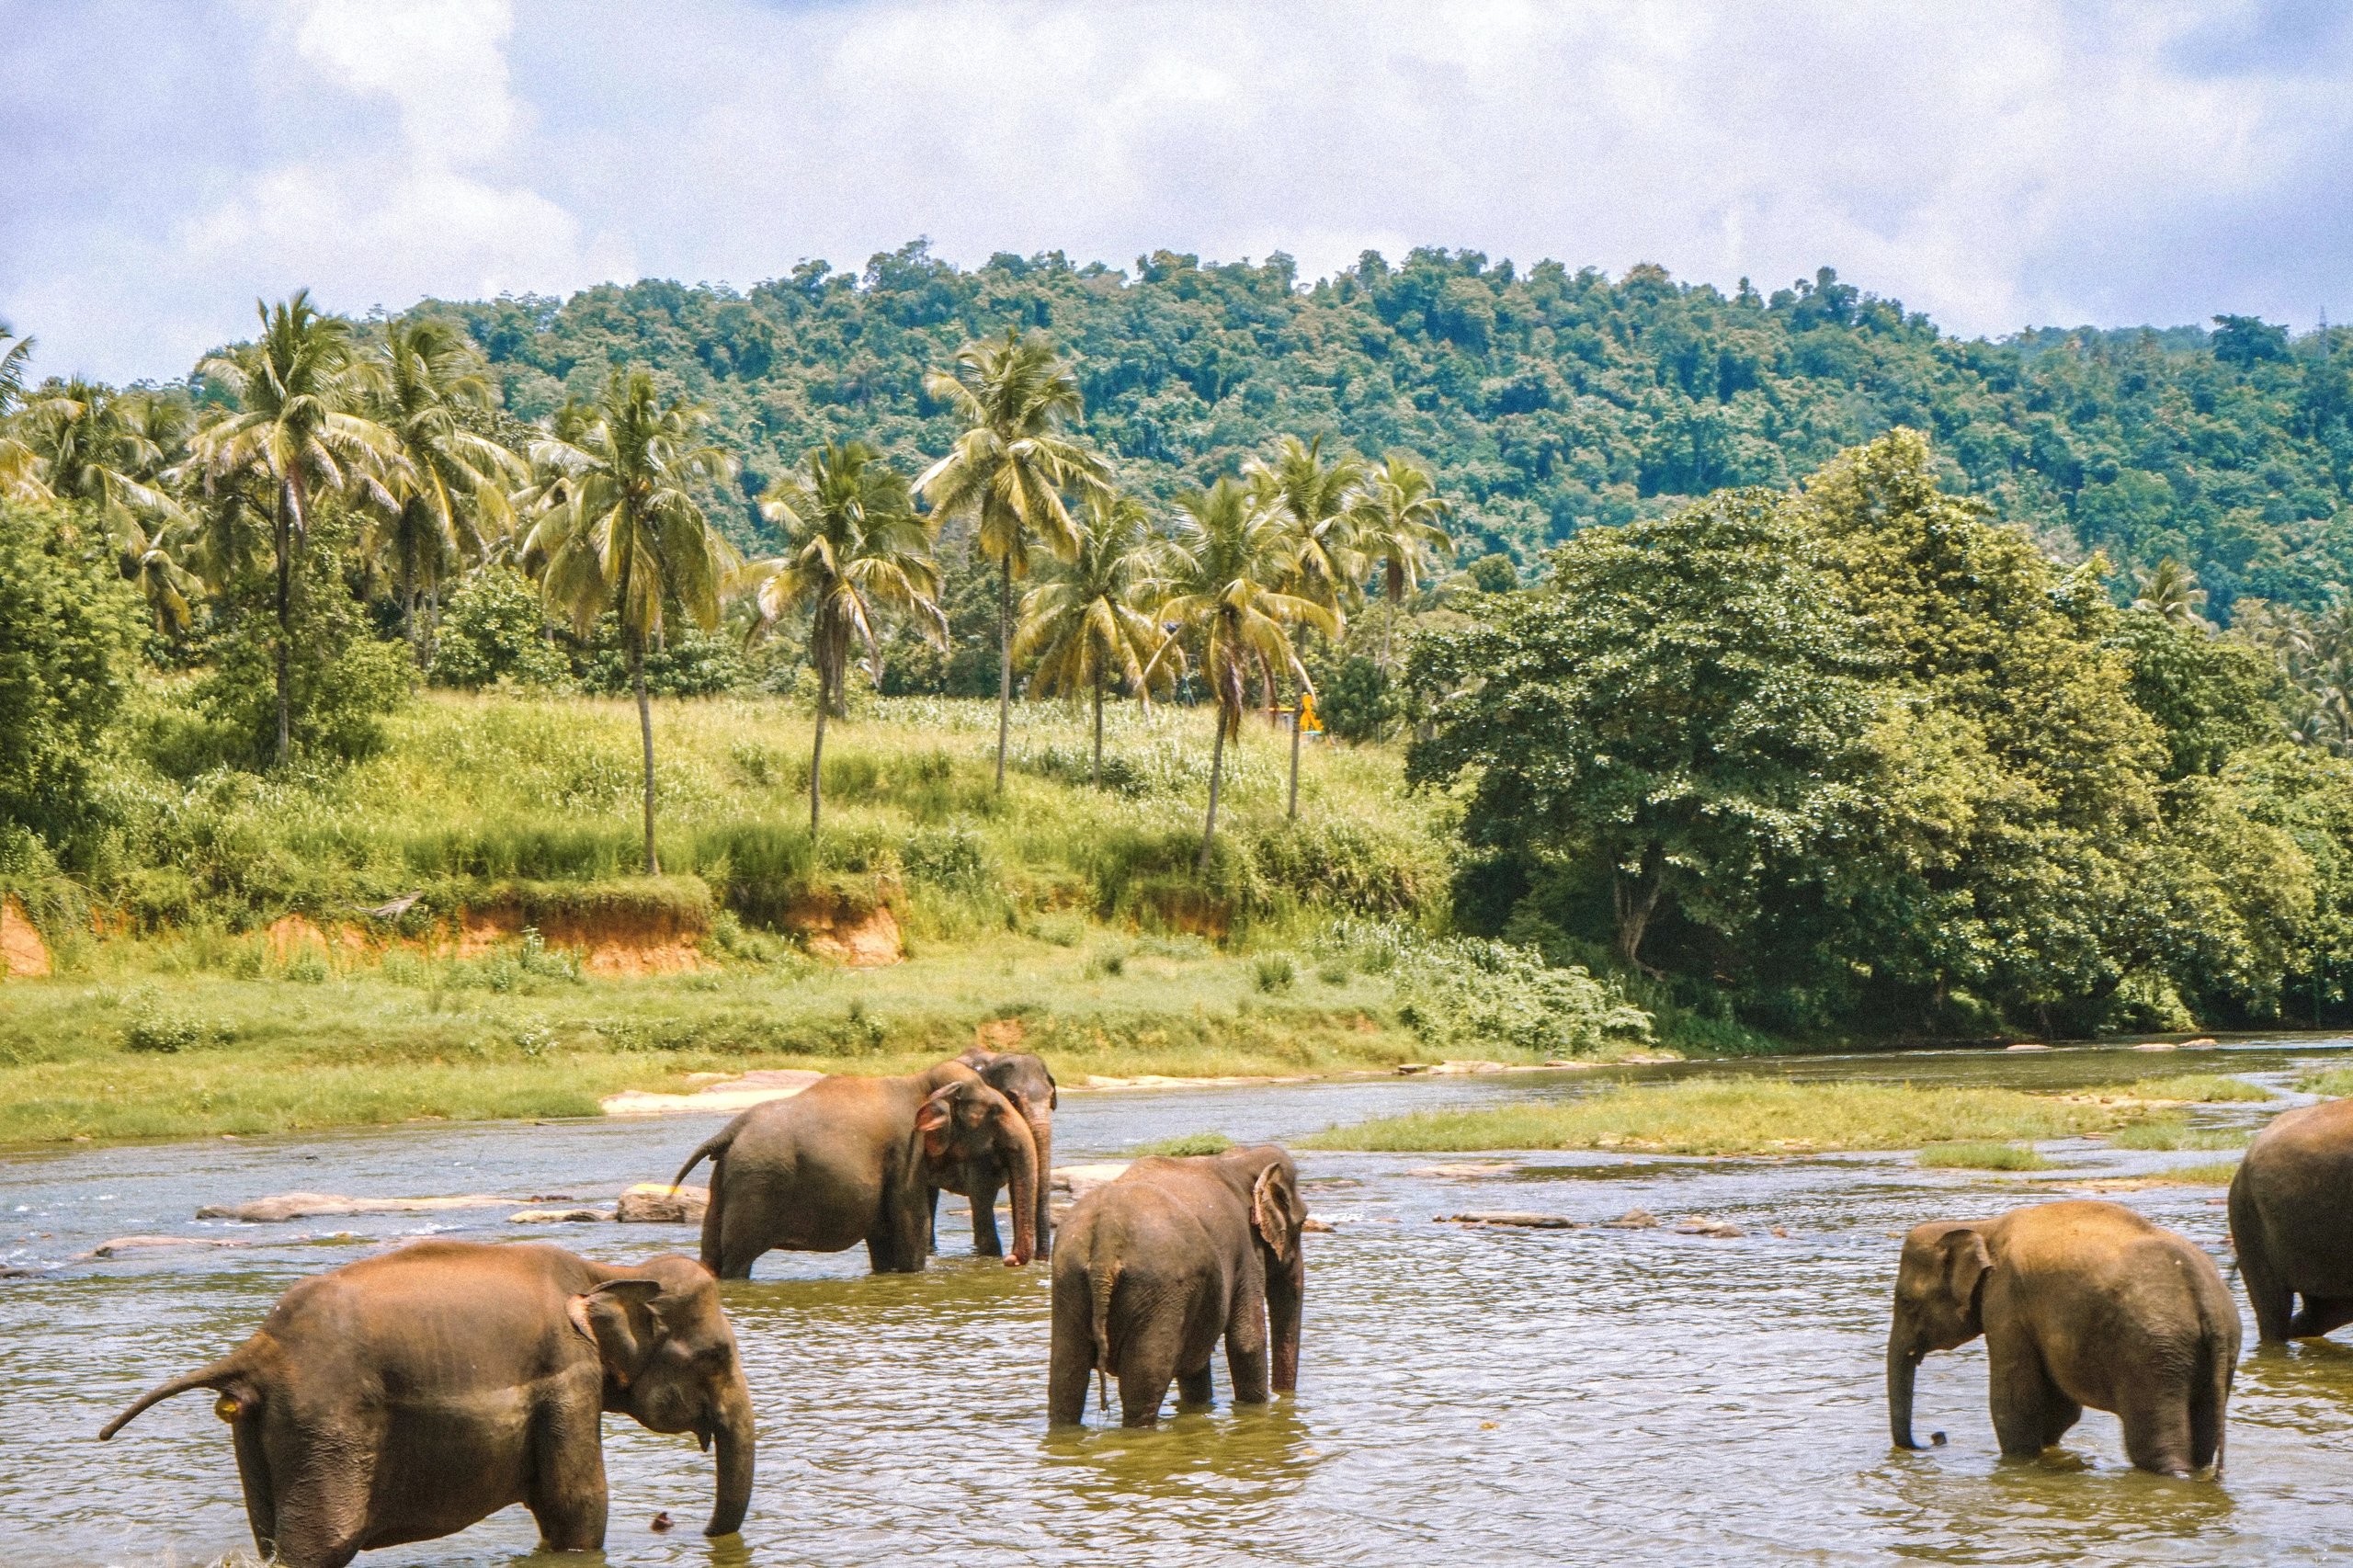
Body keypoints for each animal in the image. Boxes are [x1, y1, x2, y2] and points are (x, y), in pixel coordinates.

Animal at [98, 1240, 754, 1568]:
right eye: (717, 1355)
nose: (684, 1527)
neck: (606, 1269)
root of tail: (257, 1349)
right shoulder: (567, 1376)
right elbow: (577, 1509)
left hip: (261, 1429)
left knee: (272, 1540)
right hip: (328, 1422)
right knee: (319, 1544)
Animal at [673, 1059, 1038, 1277]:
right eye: (995, 1112)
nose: (1010, 1261)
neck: (919, 1083)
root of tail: (730, 1131)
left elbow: (884, 1239)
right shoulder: (905, 1154)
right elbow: (912, 1232)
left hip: (726, 1182)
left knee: (712, 1254)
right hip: (756, 1186)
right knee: (738, 1260)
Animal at [1048, 1144, 1306, 1428]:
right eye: (1302, 1223)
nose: (1284, 1397)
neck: (1238, 1158)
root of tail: (1107, 1236)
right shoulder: (1246, 1250)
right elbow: (1247, 1341)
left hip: (1069, 1278)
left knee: (1066, 1375)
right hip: (1159, 1289)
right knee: (1145, 1381)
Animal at [1886, 1199, 2237, 1476]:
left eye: (1906, 1301)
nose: (1936, 1437)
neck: (1982, 1228)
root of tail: (2204, 1298)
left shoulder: (2006, 1303)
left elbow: (2015, 1401)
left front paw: (2019, 1463)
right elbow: (2060, 1409)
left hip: (2151, 1354)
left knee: (2155, 1447)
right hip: (2214, 1351)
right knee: (2203, 1440)